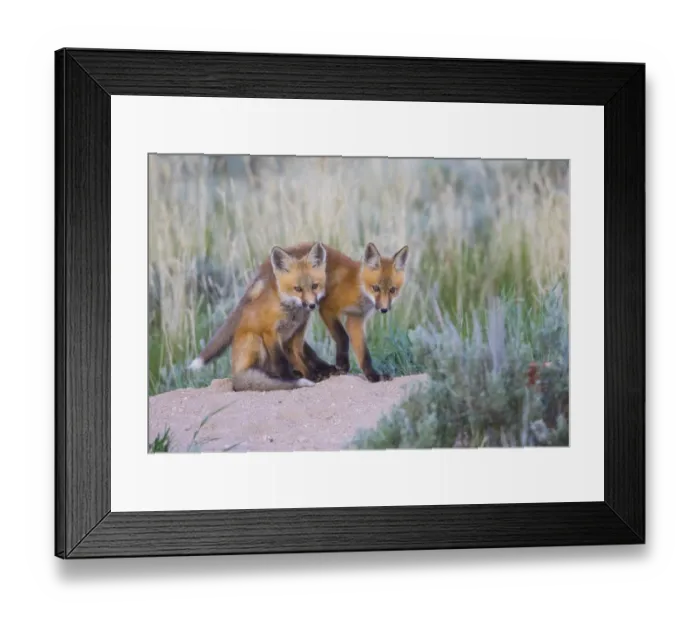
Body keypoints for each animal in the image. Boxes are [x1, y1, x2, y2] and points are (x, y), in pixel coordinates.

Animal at [187, 241, 337, 391]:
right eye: (298, 289)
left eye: (314, 286)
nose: (312, 305)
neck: (292, 313)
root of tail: (236, 377)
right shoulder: (270, 332)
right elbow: (280, 360)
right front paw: (289, 379)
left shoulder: (297, 333)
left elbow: (300, 356)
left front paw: (310, 375)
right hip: (255, 339)